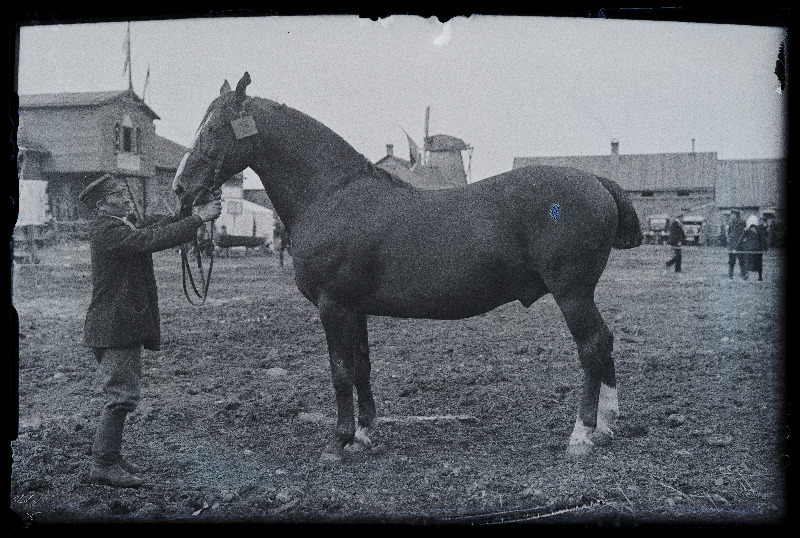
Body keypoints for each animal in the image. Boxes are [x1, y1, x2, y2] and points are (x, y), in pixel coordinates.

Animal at [173, 71, 644, 460]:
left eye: (214, 128)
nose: (182, 187)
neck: (332, 195)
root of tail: (595, 182)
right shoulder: (355, 310)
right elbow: (361, 366)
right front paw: (364, 434)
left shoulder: (333, 306)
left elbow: (340, 370)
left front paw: (339, 441)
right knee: (605, 343)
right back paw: (606, 427)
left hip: (572, 293)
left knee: (593, 345)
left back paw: (582, 435)